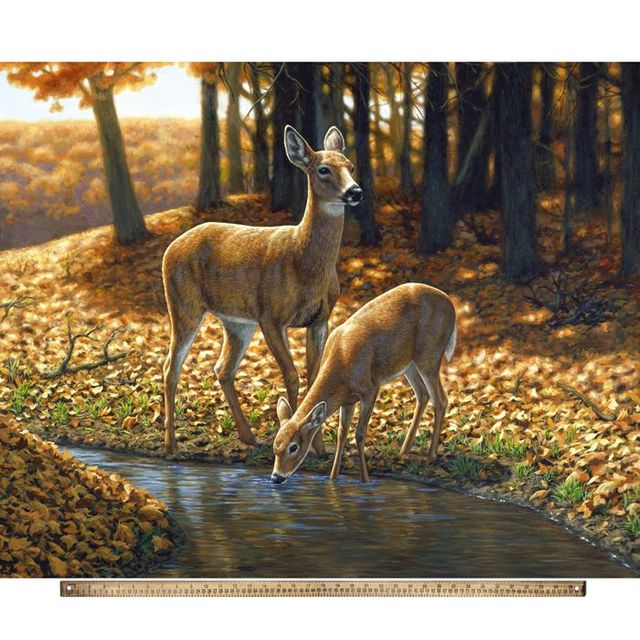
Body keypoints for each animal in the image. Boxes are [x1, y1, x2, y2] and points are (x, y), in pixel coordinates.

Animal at [162, 125, 362, 456]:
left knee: (223, 369)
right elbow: (292, 375)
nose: (355, 192)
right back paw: (171, 448)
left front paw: (319, 449)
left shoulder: (320, 318)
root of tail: (169, 248)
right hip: (183, 305)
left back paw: (248, 437)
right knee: (170, 368)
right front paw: (302, 446)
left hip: (237, 322)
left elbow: (314, 378)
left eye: (350, 166)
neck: (304, 263)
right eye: (323, 169)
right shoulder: (271, 316)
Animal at [270, 283, 457, 484]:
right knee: (423, 394)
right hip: (409, 364)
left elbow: (359, 433)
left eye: (294, 447)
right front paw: (333, 478)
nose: (276, 477)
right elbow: (342, 433)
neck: (341, 364)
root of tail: (451, 305)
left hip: (430, 354)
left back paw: (430, 457)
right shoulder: (347, 400)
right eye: (275, 446)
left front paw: (365, 480)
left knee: (440, 399)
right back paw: (404, 451)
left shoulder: (370, 388)